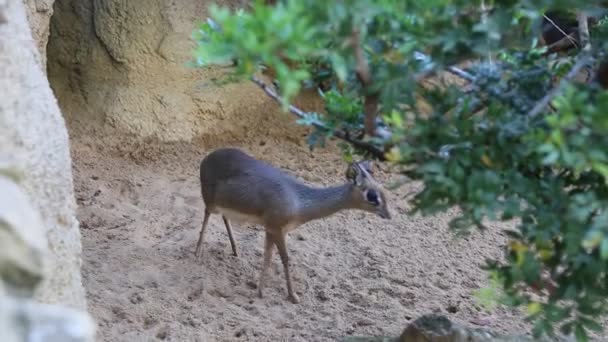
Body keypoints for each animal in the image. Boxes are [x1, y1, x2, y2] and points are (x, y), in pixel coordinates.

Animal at [197, 147, 392, 302]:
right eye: (372, 195)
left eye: (383, 191)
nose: (388, 215)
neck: (299, 202)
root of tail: (207, 158)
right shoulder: (276, 229)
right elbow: (285, 259)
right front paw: (293, 296)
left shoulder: (272, 230)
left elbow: (268, 257)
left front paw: (260, 291)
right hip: (210, 202)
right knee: (206, 214)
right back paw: (197, 252)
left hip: (224, 207)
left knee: (224, 217)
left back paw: (235, 250)